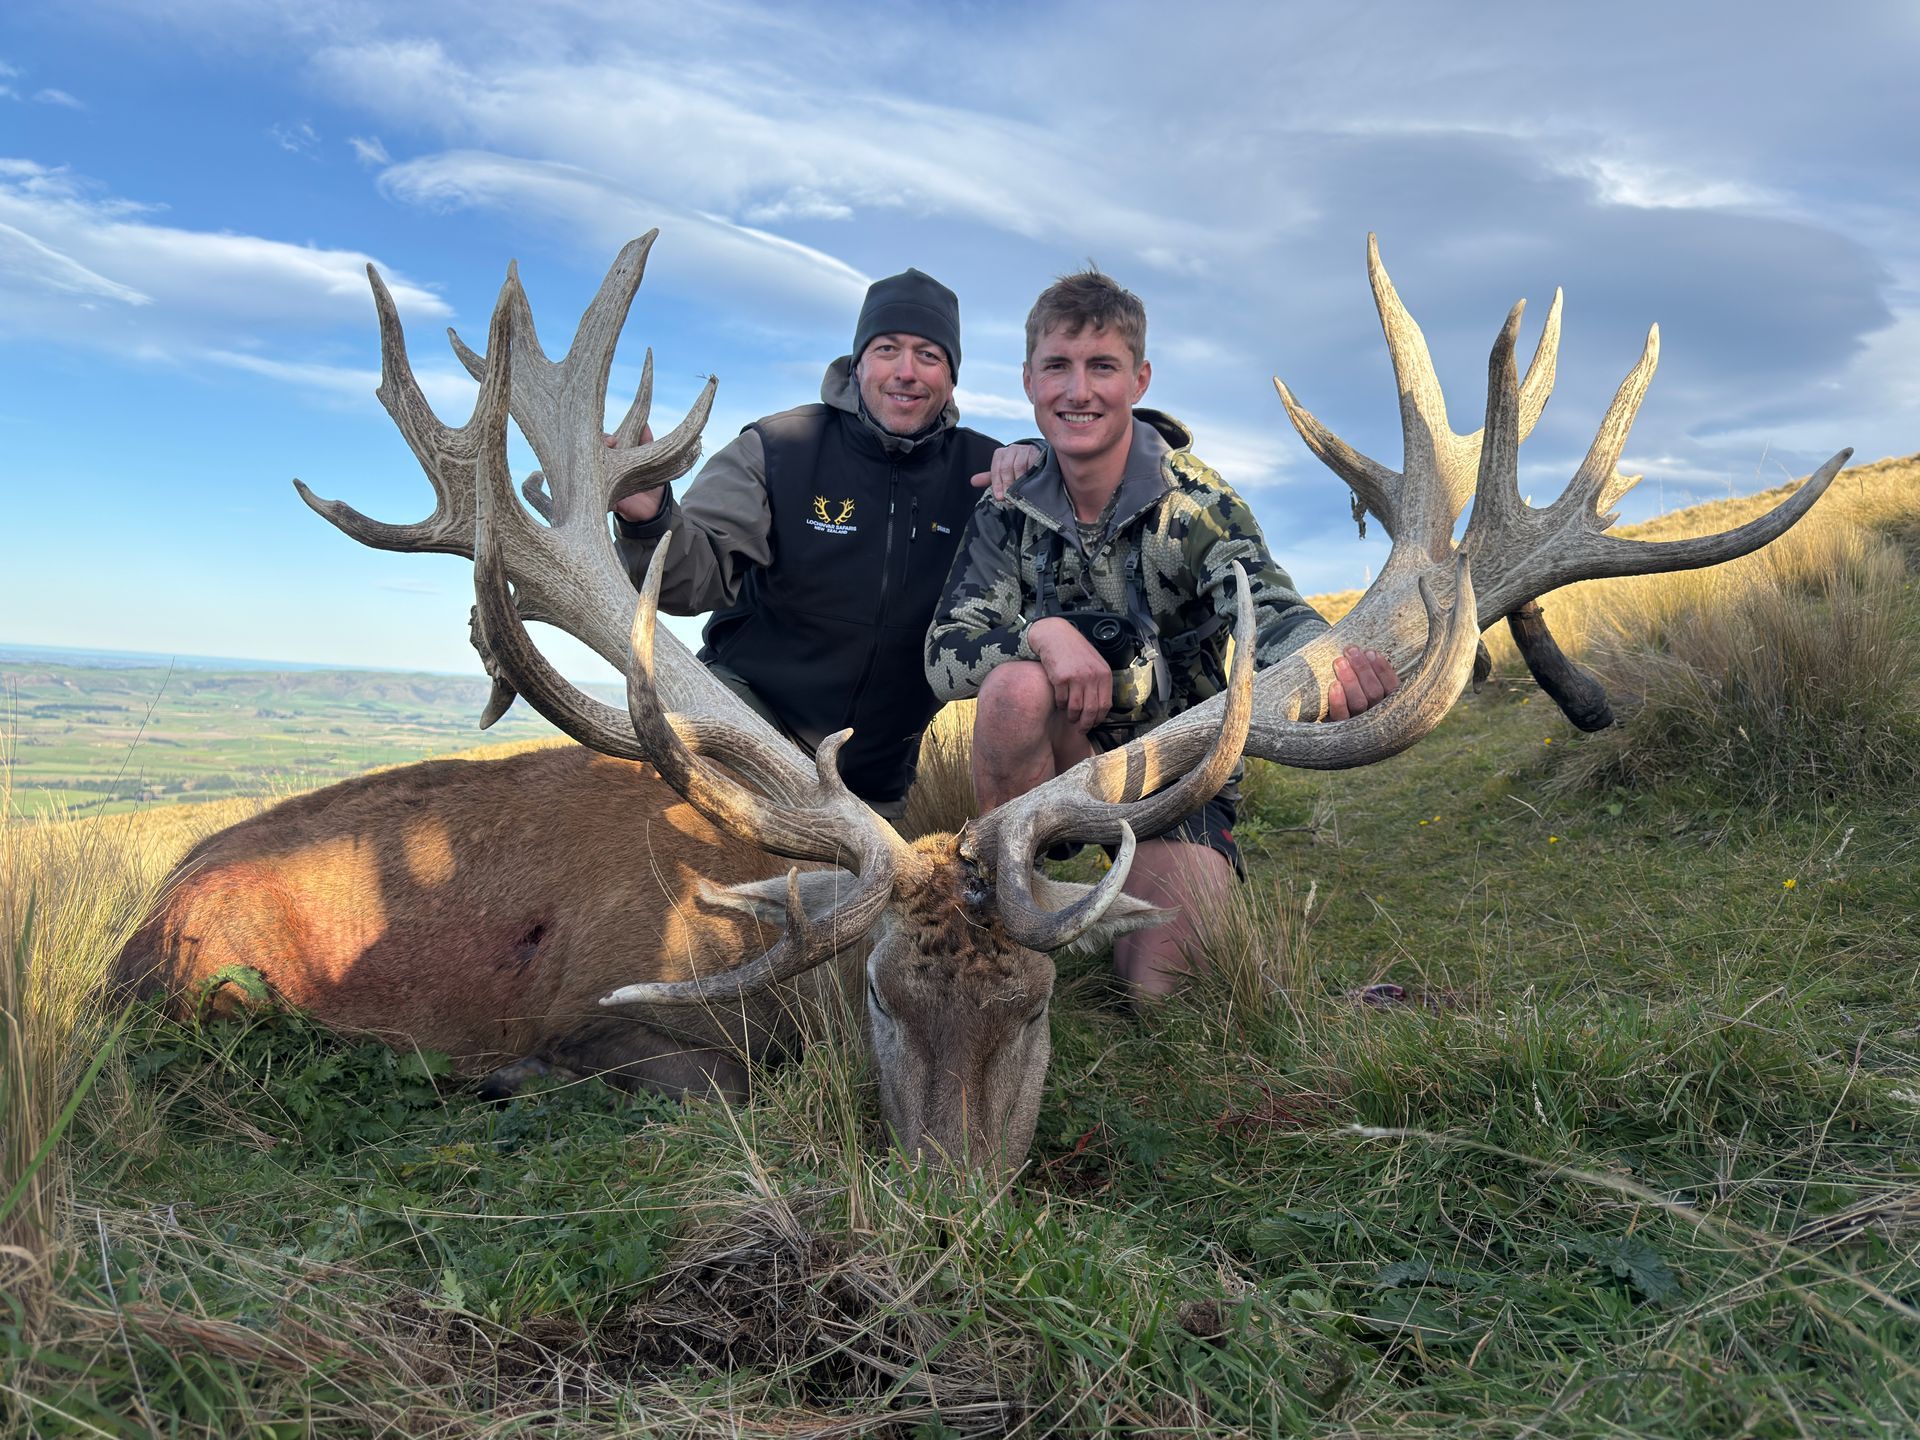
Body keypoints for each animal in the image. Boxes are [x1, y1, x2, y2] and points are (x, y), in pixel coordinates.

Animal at [114, 231, 1846, 1176]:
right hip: (227, 996)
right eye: (885, 998)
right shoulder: (634, 1025)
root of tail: (139, 932)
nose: (951, 1195)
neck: (783, 982)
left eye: (1034, 1012)